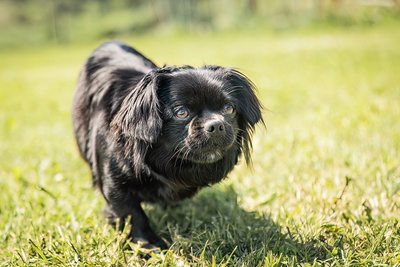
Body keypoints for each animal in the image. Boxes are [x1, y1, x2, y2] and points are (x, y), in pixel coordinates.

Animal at [72, 41, 262, 249]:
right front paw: (147, 245)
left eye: (229, 109)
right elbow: (133, 215)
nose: (216, 125)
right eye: (182, 113)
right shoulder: (115, 185)